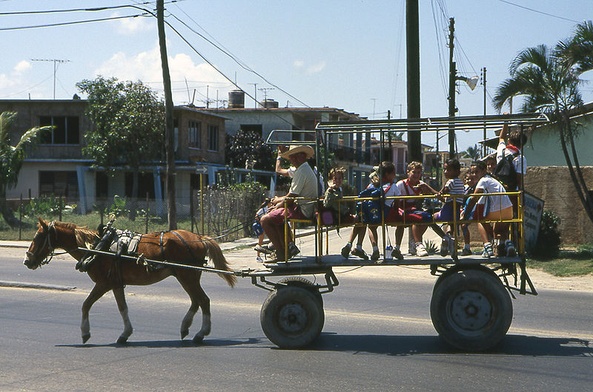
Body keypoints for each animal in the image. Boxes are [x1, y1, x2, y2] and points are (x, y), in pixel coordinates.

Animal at [23, 219, 236, 344]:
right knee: (195, 301)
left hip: (187, 276)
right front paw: (125, 333)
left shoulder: (104, 284)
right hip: (185, 276)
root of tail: (199, 237)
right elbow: (122, 308)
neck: (97, 248)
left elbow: (86, 305)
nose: (27, 260)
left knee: (203, 300)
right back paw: (186, 327)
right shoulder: (116, 283)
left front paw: (85, 333)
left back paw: (201, 333)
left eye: (39, 236)